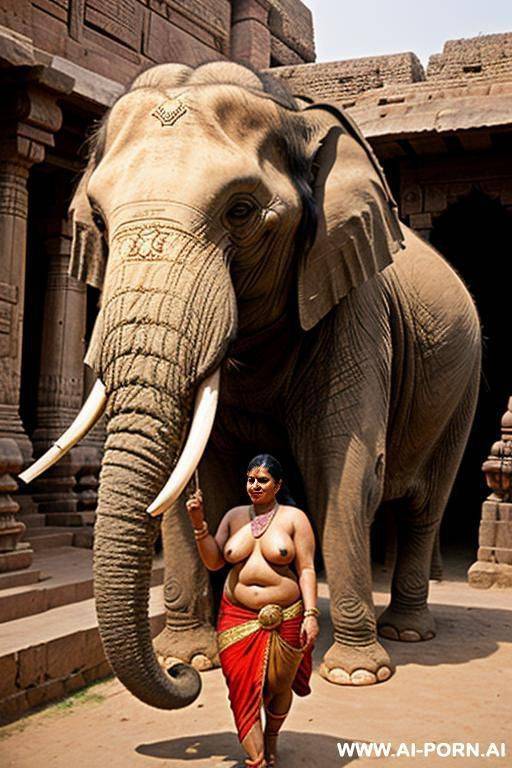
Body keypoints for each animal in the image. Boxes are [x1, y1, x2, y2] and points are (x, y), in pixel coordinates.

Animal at [27, 60, 480, 708]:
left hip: (463, 382)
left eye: (240, 212)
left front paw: (356, 675)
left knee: (424, 504)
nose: (181, 680)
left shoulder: (352, 301)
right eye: (100, 219)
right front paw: (197, 655)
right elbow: (190, 471)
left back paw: (406, 632)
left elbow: (343, 463)